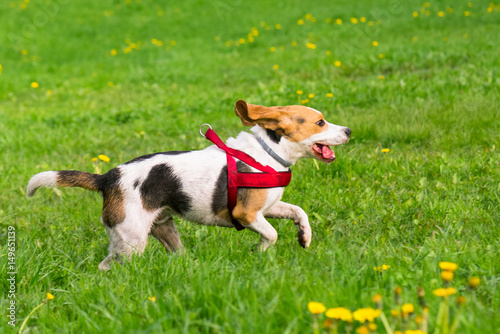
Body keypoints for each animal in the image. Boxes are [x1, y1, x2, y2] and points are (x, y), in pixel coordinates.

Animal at [25, 100, 350, 270]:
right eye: (320, 122)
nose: (348, 130)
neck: (268, 152)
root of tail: (108, 177)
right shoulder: (247, 214)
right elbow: (271, 235)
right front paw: (259, 252)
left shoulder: (267, 207)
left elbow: (298, 211)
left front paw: (304, 237)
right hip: (130, 241)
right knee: (108, 266)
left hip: (164, 228)